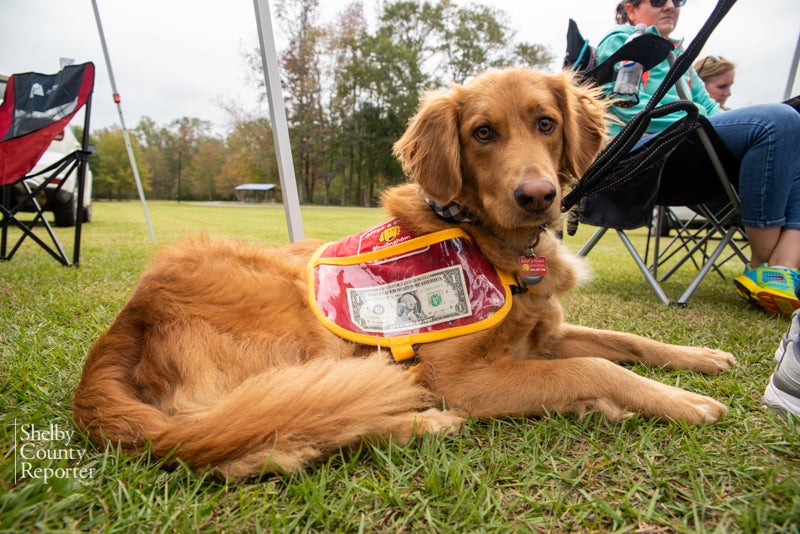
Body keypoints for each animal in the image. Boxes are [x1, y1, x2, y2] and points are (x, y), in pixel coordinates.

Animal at [72, 69, 736, 480]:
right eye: (483, 133)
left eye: (546, 123)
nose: (537, 196)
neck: (490, 243)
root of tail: (121, 330)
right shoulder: (459, 376)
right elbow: (593, 365)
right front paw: (679, 401)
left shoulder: (543, 335)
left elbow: (625, 340)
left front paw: (699, 358)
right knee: (265, 435)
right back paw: (426, 422)